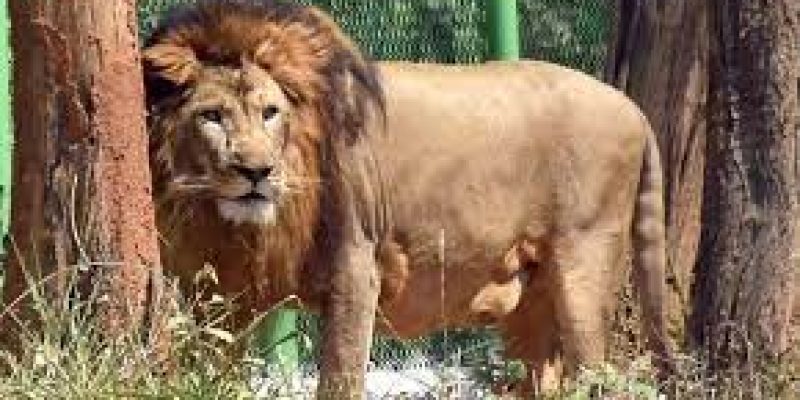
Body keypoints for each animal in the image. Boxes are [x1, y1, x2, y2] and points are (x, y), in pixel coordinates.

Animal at [143, 1, 672, 397]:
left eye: (270, 112)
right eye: (212, 115)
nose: (256, 172)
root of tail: (634, 108)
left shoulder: (356, 267)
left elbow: (339, 379)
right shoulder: (220, 287)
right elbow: (214, 366)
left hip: (585, 265)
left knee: (597, 374)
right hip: (533, 300)